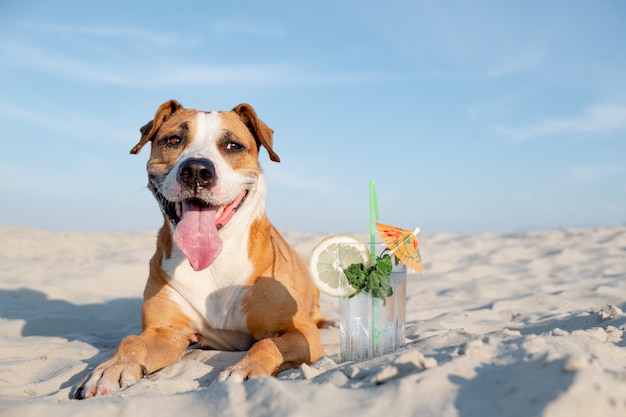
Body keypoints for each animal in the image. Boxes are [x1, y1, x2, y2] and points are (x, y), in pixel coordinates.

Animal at [74, 99, 322, 398]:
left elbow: (265, 344)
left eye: (233, 146)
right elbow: (132, 340)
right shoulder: (167, 331)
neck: (215, 261)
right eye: (173, 140)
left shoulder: (300, 332)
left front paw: (243, 370)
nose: (196, 171)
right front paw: (112, 368)